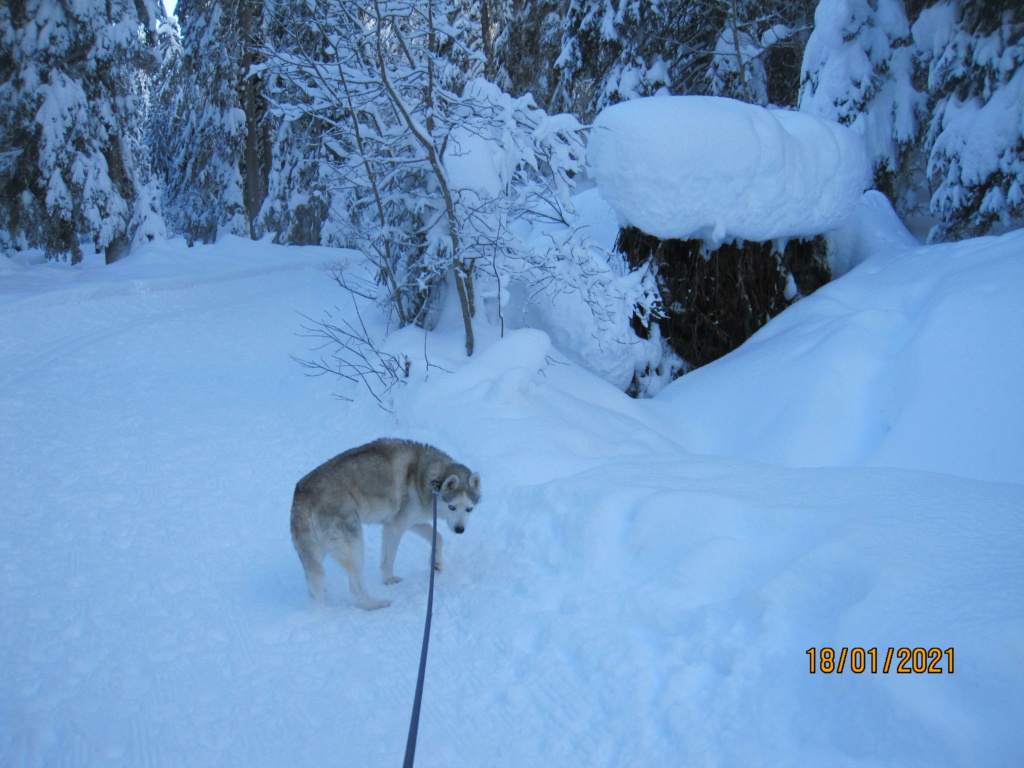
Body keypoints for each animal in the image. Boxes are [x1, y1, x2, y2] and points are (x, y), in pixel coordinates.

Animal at [288, 442, 479, 610]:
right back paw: (374, 604)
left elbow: (438, 537)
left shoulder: (411, 522)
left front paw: (437, 563)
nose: (460, 530)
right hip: (355, 545)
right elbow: (388, 560)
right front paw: (389, 581)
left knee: (311, 577)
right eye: (452, 507)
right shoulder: (394, 527)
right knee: (355, 587)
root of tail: (302, 493)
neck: (429, 478)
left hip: (317, 550)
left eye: (469, 509)